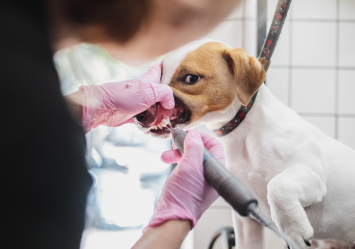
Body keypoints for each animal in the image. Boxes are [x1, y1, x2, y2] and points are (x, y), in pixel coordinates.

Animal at [136, 40, 355, 248]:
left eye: (191, 78)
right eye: (160, 74)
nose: (139, 114)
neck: (245, 132)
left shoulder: (313, 174)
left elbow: (278, 186)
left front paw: (293, 230)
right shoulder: (246, 221)